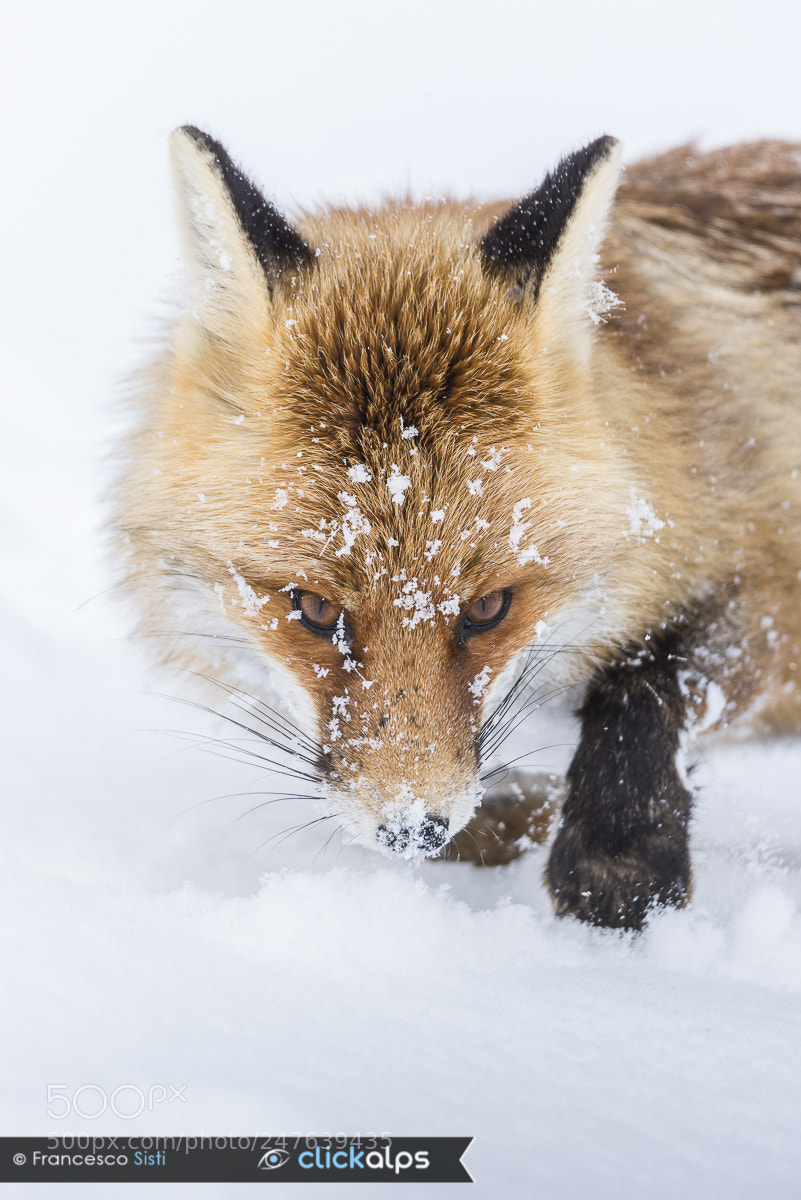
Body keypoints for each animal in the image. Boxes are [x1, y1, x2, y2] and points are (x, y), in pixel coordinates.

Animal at [115, 126, 801, 930]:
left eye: (488, 607)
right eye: (313, 609)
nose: (414, 829)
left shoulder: (765, 587)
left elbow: (652, 680)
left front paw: (619, 855)